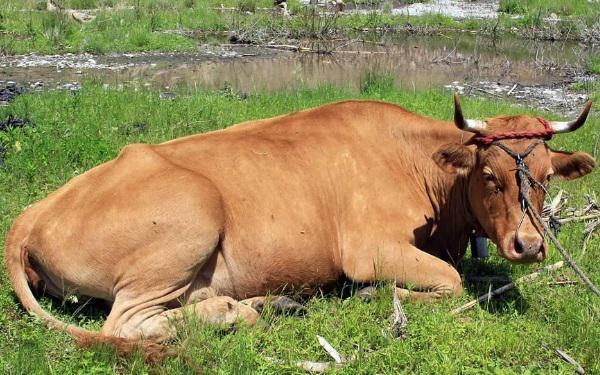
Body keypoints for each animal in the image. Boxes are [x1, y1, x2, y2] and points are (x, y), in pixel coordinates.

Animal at [4, 95, 596, 354]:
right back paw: (235, 313)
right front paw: (374, 295)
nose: (528, 245)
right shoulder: (368, 248)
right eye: (491, 176)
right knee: (124, 324)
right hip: (192, 216)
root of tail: (31, 213)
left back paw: (269, 303)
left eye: (545, 176)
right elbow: (450, 282)